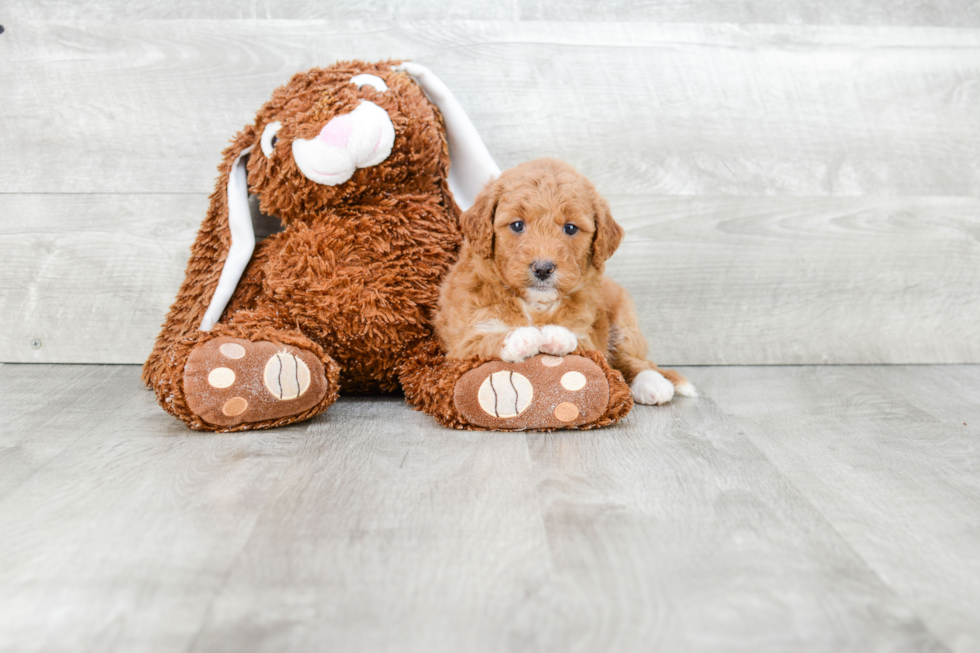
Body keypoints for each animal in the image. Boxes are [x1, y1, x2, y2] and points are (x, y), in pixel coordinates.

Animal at [432, 157, 692, 402]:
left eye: (570, 228)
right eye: (517, 225)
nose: (543, 268)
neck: (535, 304)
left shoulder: (592, 339)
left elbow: (583, 342)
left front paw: (557, 335)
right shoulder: (460, 346)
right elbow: (483, 340)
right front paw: (521, 337)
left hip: (624, 320)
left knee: (633, 360)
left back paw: (653, 384)